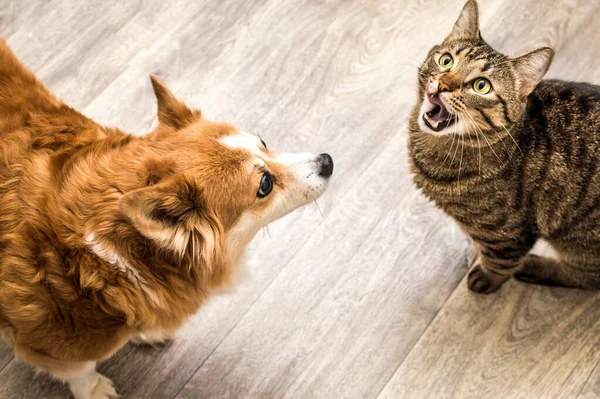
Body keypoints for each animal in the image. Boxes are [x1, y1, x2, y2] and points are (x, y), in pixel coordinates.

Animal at [0, 39, 332, 398]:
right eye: (265, 185)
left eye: (263, 142)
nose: (328, 161)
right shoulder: (48, 346)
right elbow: (81, 371)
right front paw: (95, 390)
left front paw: (146, 333)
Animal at [408, 0, 600, 294]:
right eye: (446, 60)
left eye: (481, 86)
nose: (441, 85)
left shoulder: (507, 235)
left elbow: (498, 263)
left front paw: (486, 279)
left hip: (578, 240)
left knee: (586, 278)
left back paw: (535, 267)